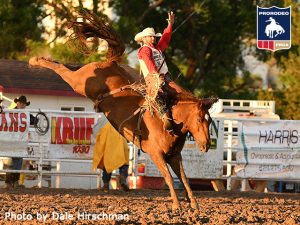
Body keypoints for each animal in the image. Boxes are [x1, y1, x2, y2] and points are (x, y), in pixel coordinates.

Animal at [29, 11, 217, 211]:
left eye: (210, 121)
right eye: (199, 120)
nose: (206, 145)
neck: (170, 120)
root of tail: (109, 63)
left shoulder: (174, 156)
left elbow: (184, 179)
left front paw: (194, 204)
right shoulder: (156, 154)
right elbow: (168, 178)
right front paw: (176, 206)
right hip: (79, 82)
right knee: (62, 69)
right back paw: (35, 60)